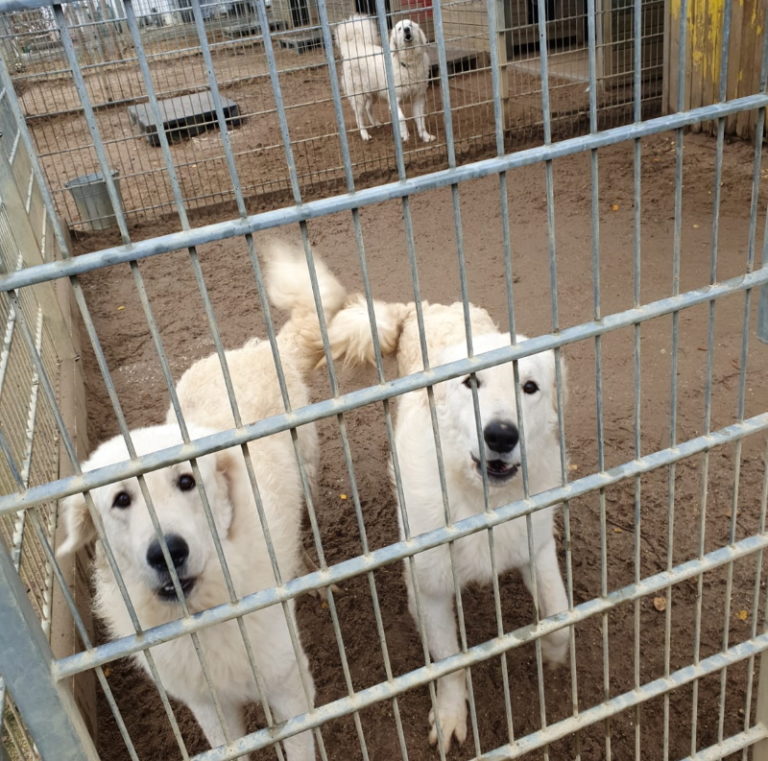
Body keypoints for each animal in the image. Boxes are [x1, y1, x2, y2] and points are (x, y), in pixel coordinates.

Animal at [58, 242, 346, 760]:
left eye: (187, 482)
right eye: (121, 499)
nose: (168, 552)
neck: (203, 612)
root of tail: (256, 350)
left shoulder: (290, 687)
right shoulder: (208, 708)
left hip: (308, 477)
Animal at [324, 296, 568, 748]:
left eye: (529, 387)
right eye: (471, 383)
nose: (501, 435)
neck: (479, 502)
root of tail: (426, 305)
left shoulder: (536, 546)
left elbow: (561, 616)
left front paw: (551, 654)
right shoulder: (430, 589)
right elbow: (451, 661)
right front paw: (451, 714)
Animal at [334, 14, 436, 143]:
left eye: (410, 25)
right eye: (399, 29)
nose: (406, 29)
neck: (408, 64)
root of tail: (354, 46)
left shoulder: (418, 97)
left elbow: (420, 119)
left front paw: (425, 136)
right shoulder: (394, 99)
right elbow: (401, 118)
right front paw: (405, 135)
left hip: (373, 93)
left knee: (368, 108)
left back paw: (376, 123)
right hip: (358, 96)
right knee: (359, 116)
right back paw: (364, 134)